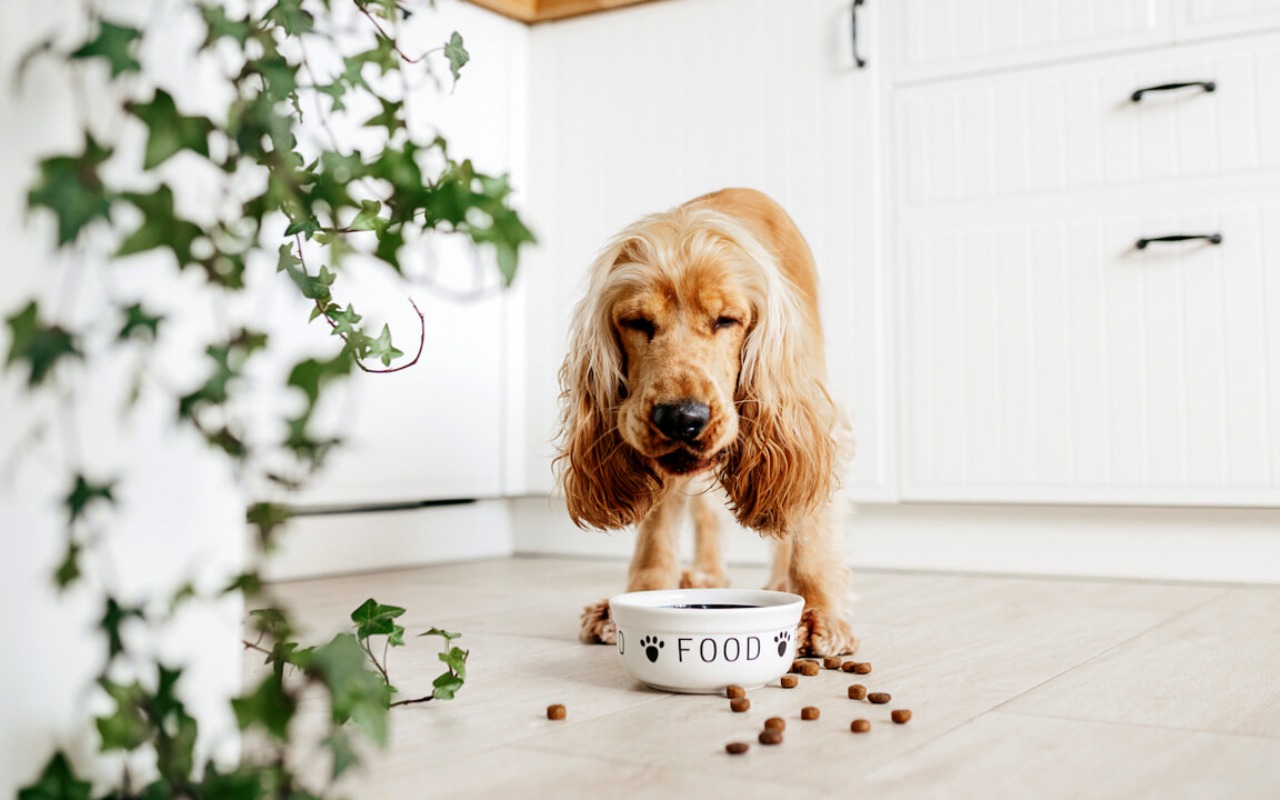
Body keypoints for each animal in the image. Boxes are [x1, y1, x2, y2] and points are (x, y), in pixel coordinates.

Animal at [555, 185, 855, 655]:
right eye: (637, 322)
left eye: (726, 320)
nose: (681, 418)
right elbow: (656, 530)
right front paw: (640, 595)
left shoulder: (812, 417)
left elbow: (810, 522)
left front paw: (818, 613)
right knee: (705, 512)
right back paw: (707, 575)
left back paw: (779, 581)